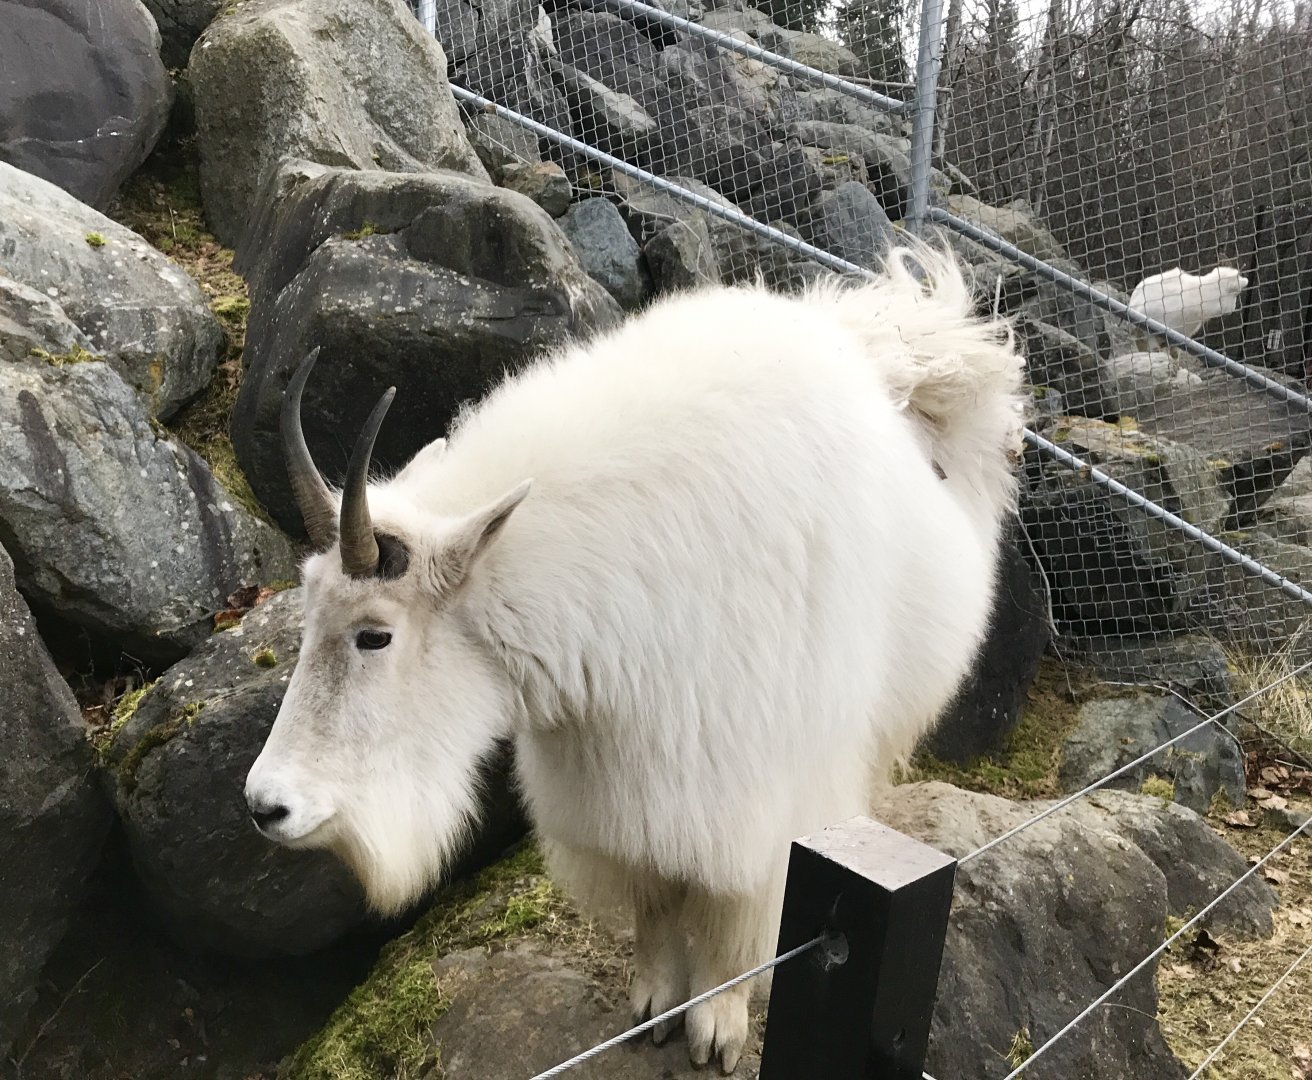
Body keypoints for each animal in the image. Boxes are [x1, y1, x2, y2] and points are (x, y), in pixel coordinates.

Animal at [244, 244, 1026, 1073]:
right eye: (307, 609)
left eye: (375, 634)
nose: (268, 806)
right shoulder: (620, 784)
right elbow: (653, 900)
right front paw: (654, 1006)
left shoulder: (756, 789)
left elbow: (735, 916)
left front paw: (717, 1027)